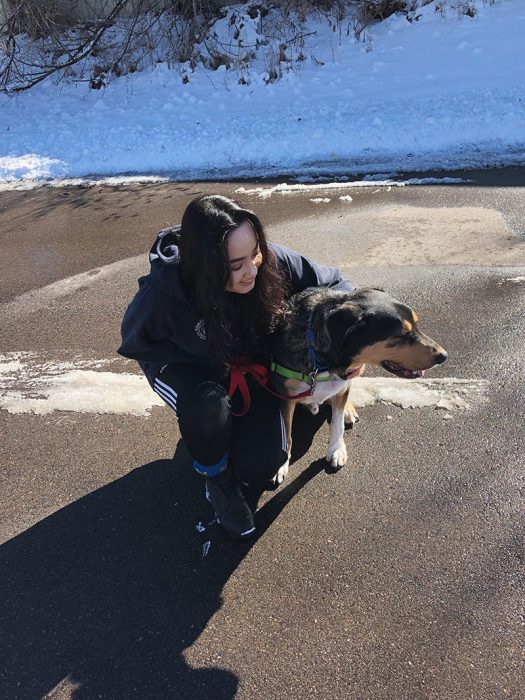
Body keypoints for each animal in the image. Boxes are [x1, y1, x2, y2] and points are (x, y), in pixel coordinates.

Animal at [270, 286, 446, 476]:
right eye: (401, 334)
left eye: (416, 324)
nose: (443, 356)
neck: (323, 363)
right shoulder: (285, 397)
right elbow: (286, 435)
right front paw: (281, 464)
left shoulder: (344, 382)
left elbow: (337, 423)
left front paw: (337, 449)